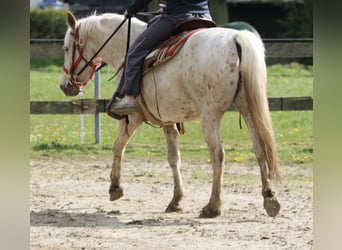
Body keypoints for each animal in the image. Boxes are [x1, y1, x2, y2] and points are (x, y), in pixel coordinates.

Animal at [60, 12, 280, 218]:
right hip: (248, 109)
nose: (64, 86)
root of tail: (236, 38)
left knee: (218, 154)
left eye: (66, 48)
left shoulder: (133, 117)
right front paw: (176, 200)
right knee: (260, 148)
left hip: (210, 115)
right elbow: (174, 158)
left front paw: (115, 187)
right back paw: (269, 197)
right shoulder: (168, 119)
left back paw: (213, 206)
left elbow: (118, 146)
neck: (126, 45)